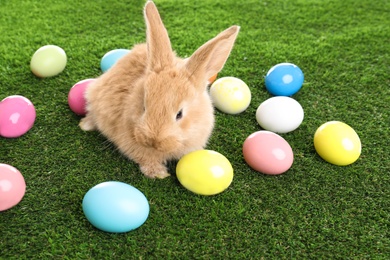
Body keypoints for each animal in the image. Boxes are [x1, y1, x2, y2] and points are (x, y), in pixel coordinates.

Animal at [80, 0, 241, 179]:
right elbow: (146, 159)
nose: (152, 140)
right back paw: (85, 125)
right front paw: (158, 174)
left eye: (179, 114)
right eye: (144, 107)